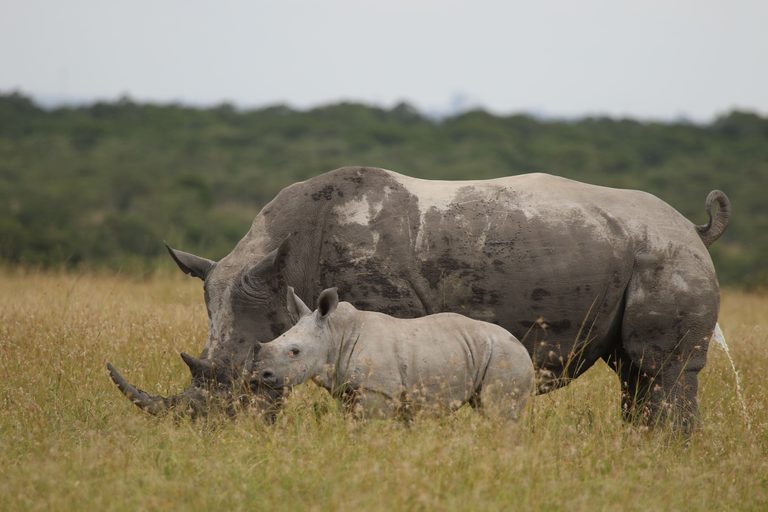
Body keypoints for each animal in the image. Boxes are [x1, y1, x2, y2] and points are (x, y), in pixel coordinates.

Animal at [254, 286, 534, 419]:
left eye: (295, 352)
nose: (262, 375)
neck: (333, 332)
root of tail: (522, 345)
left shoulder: (378, 390)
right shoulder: (348, 389)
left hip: (505, 355)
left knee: (499, 412)